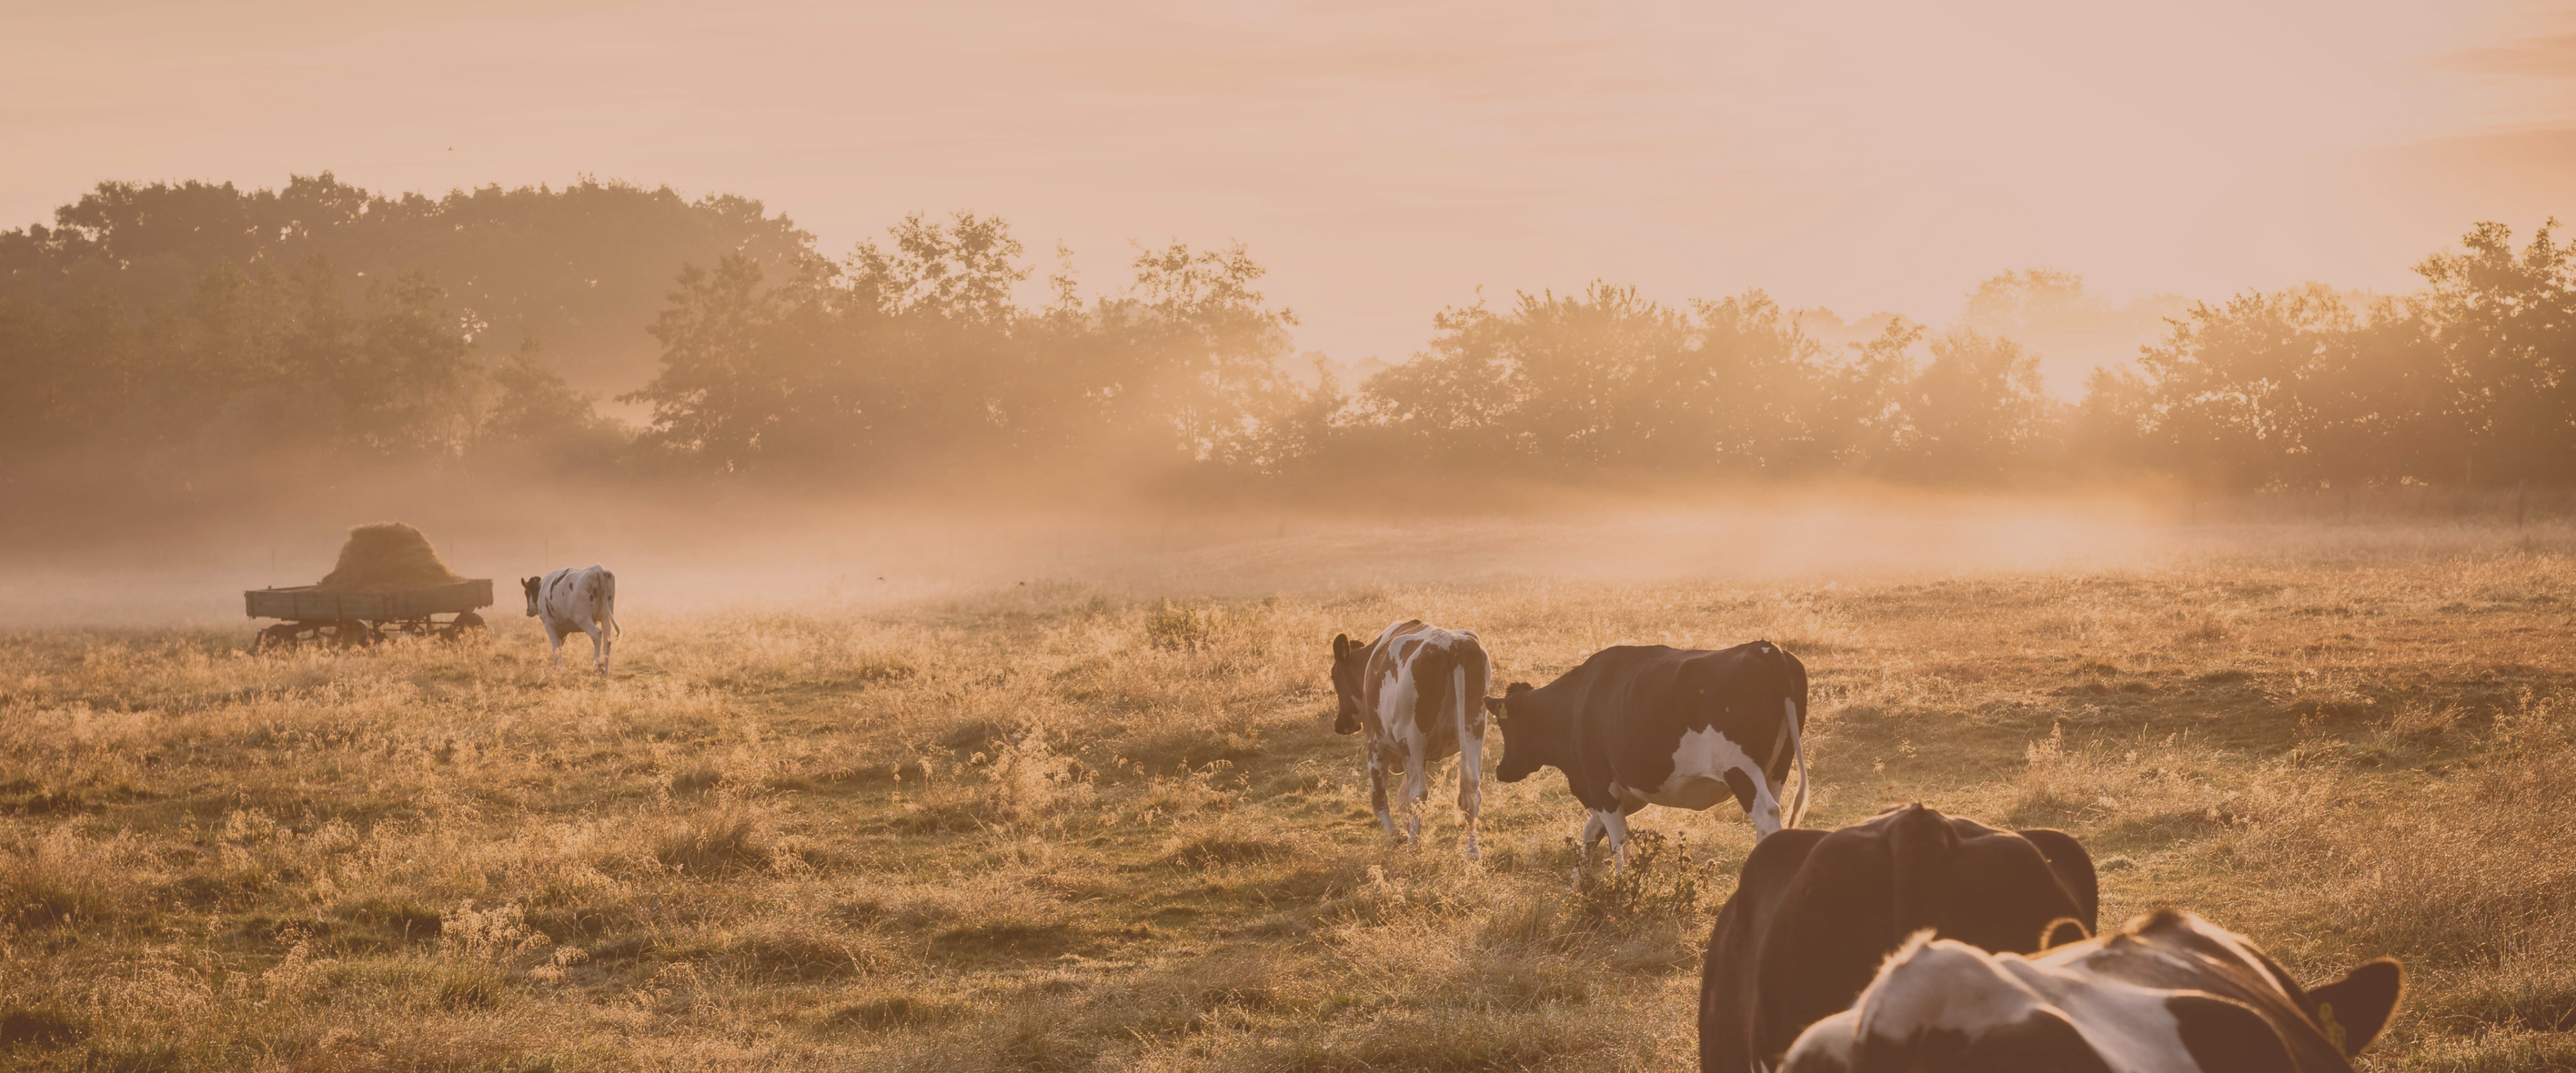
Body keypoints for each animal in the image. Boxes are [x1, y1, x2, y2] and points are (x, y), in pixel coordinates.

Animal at [520, 561, 621, 669]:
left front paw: (559, 669)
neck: (542, 588)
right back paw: (605, 670)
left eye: (527, 593)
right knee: (608, 641)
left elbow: (557, 648)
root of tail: (596, 568)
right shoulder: (562, 629)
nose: (527, 611)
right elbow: (558, 647)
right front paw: (555, 668)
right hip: (606, 617)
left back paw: (596, 663)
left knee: (597, 634)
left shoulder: (548, 625)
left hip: (583, 619)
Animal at [1483, 640, 1823, 864]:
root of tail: (1766, 649)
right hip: (1777, 769)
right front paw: (1581, 885)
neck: (1577, 702)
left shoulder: (1599, 784)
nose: (1501, 770)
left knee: (1766, 814)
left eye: (1504, 725)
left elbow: (1618, 842)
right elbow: (1592, 831)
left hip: (1741, 770)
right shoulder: (1629, 791)